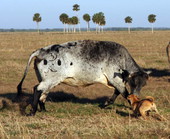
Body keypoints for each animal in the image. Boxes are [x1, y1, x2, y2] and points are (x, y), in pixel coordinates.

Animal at [16, 40, 148, 116]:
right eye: (133, 83)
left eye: (143, 85)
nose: (137, 95)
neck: (122, 59)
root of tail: (41, 51)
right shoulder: (116, 80)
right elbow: (126, 95)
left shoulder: (117, 82)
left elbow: (116, 94)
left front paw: (105, 104)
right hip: (50, 80)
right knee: (37, 89)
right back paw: (33, 111)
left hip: (47, 80)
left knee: (43, 93)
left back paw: (43, 110)